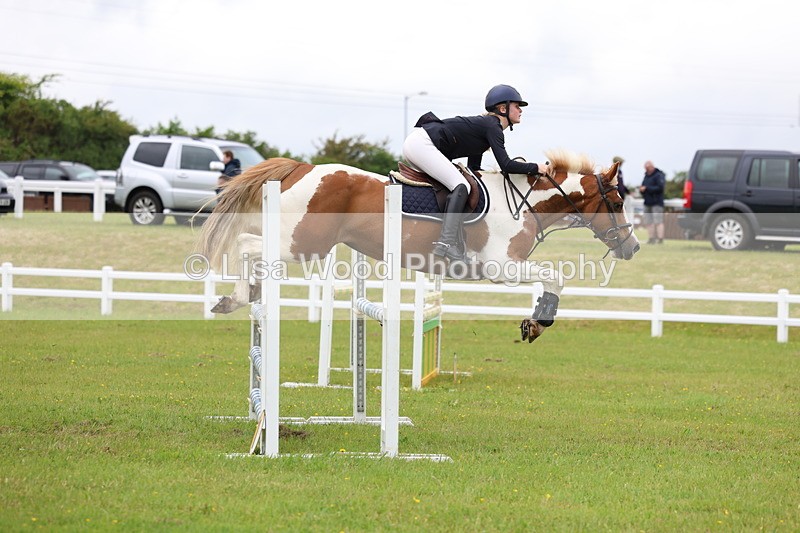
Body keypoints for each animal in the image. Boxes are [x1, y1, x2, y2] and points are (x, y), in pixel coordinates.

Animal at [196, 150, 640, 342]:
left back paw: (241, 295)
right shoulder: (502, 267)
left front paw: (533, 321)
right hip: (303, 242)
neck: (524, 202)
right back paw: (235, 298)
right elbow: (556, 276)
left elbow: (553, 277)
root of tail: (303, 168)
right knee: (247, 243)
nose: (632, 247)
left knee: (249, 245)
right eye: (618, 201)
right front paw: (538, 322)